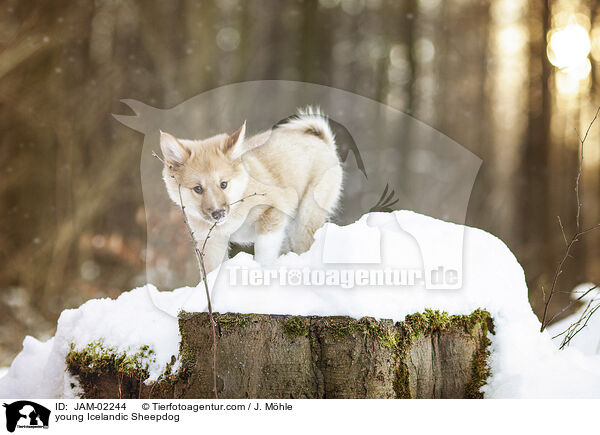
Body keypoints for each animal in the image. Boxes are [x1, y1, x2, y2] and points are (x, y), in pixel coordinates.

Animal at [161, 107, 342, 274]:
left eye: (223, 184)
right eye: (198, 188)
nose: (218, 214)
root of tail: (321, 140)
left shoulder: (272, 213)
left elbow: (264, 253)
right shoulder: (212, 241)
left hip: (305, 221)